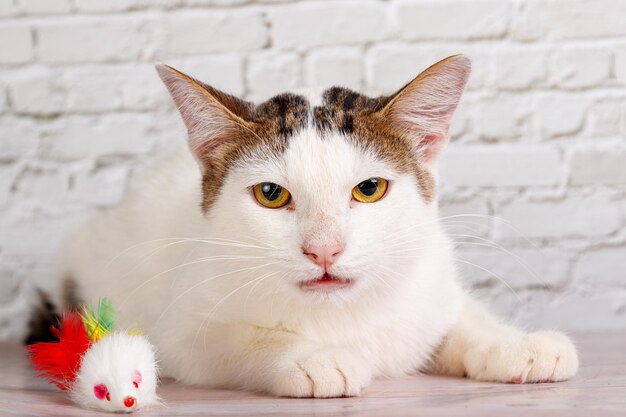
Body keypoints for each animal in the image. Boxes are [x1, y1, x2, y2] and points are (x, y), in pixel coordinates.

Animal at [28, 55, 576, 396]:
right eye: (271, 195)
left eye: (369, 188)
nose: (324, 250)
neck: (344, 314)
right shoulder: (182, 331)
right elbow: (232, 339)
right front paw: (309, 357)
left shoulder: (427, 279)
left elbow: (455, 318)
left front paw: (515, 343)